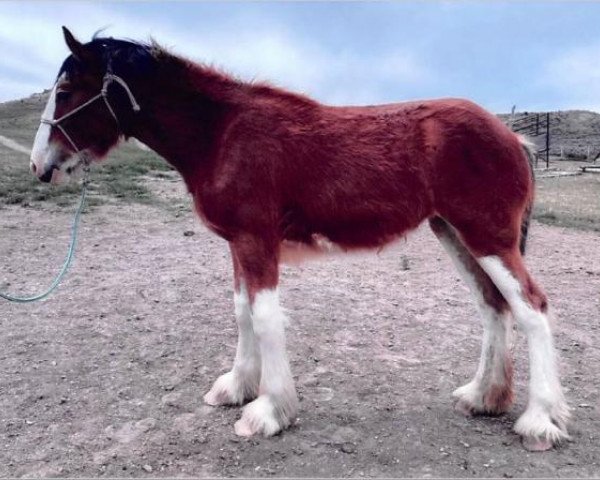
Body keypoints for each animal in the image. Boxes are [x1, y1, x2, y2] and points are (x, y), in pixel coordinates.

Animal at [29, 28, 572, 452]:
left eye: (67, 89)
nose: (40, 167)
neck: (222, 133)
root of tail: (513, 136)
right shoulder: (239, 245)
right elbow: (242, 313)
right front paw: (237, 387)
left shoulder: (255, 242)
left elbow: (265, 318)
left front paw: (268, 411)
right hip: (456, 234)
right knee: (492, 306)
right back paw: (483, 397)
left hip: (487, 238)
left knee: (532, 308)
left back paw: (539, 421)